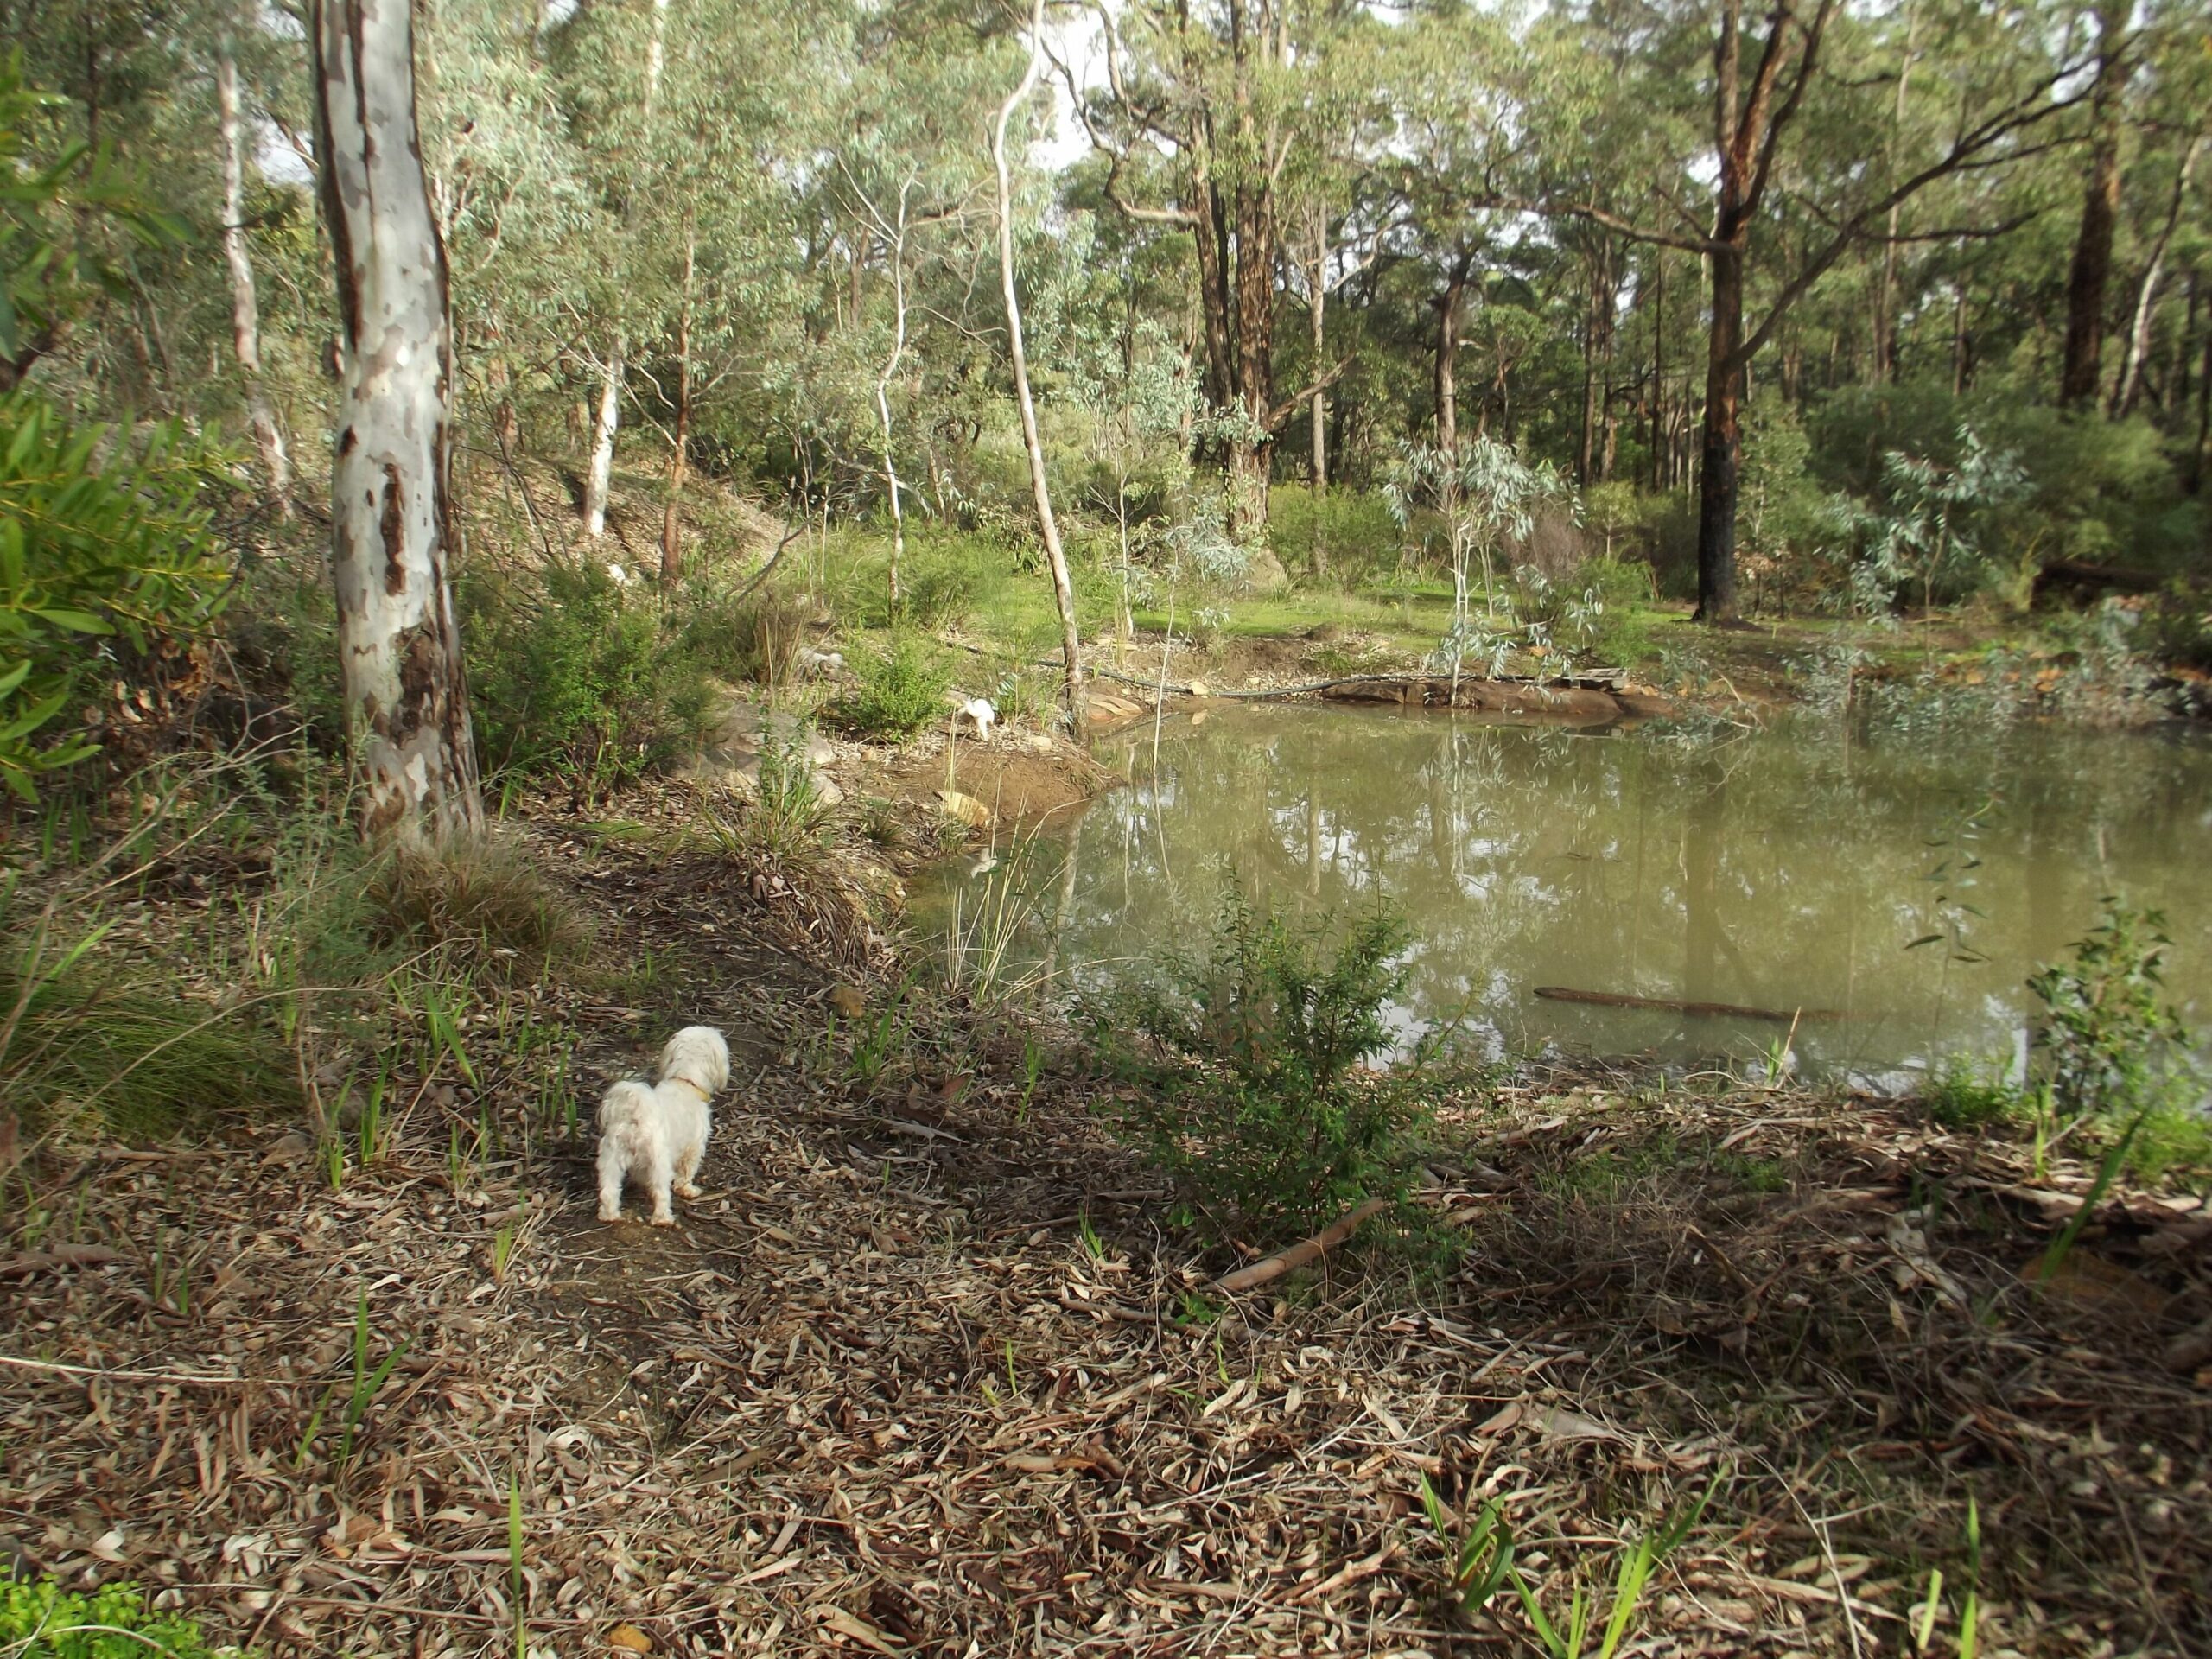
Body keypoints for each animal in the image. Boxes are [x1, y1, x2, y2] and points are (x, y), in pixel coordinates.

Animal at [601, 1035, 729, 1230]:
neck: (685, 1080)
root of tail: (636, 1116)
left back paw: (610, 1216)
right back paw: (663, 1219)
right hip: (659, 1161)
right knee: (661, 1192)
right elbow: (686, 1171)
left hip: (611, 1158)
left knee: (608, 1189)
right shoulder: (694, 1146)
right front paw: (687, 1190)